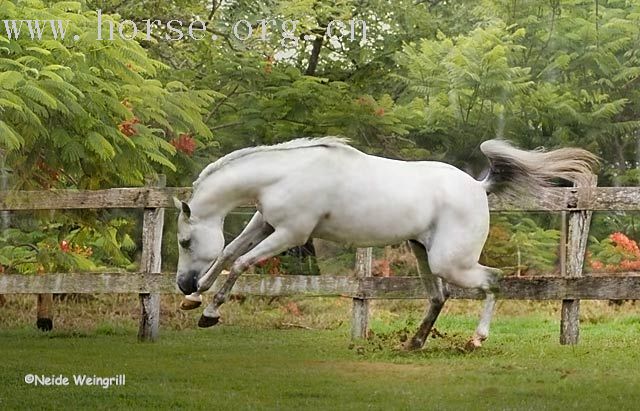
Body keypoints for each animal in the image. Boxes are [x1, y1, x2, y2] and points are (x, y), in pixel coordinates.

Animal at [174, 138, 596, 350]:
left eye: (184, 240)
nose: (182, 284)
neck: (288, 174)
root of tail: (479, 187)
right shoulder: (265, 222)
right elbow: (229, 252)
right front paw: (194, 299)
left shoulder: (291, 233)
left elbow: (240, 263)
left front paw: (208, 313)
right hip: (423, 252)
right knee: (439, 296)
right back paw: (414, 342)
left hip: (451, 261)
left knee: (494, 280)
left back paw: (475, 340)